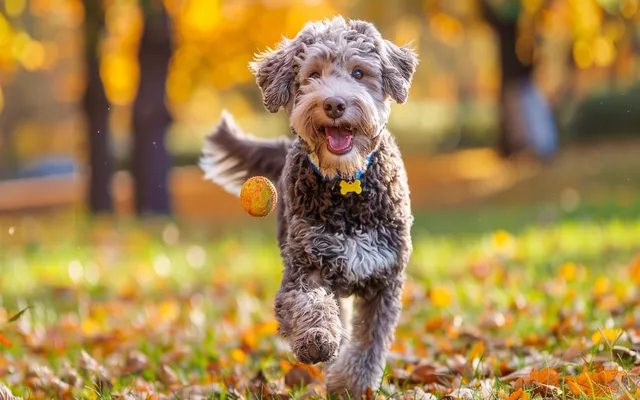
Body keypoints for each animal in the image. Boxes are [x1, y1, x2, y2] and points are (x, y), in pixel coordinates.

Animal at [201, 14, 420, 396]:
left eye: (359, 73)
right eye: (314, 74)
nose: (334, 104)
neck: (347, 185)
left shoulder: (385, 278)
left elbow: (369, 344)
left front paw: (350, 383)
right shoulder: (305, 264)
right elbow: (308, 304)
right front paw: (317, 339)